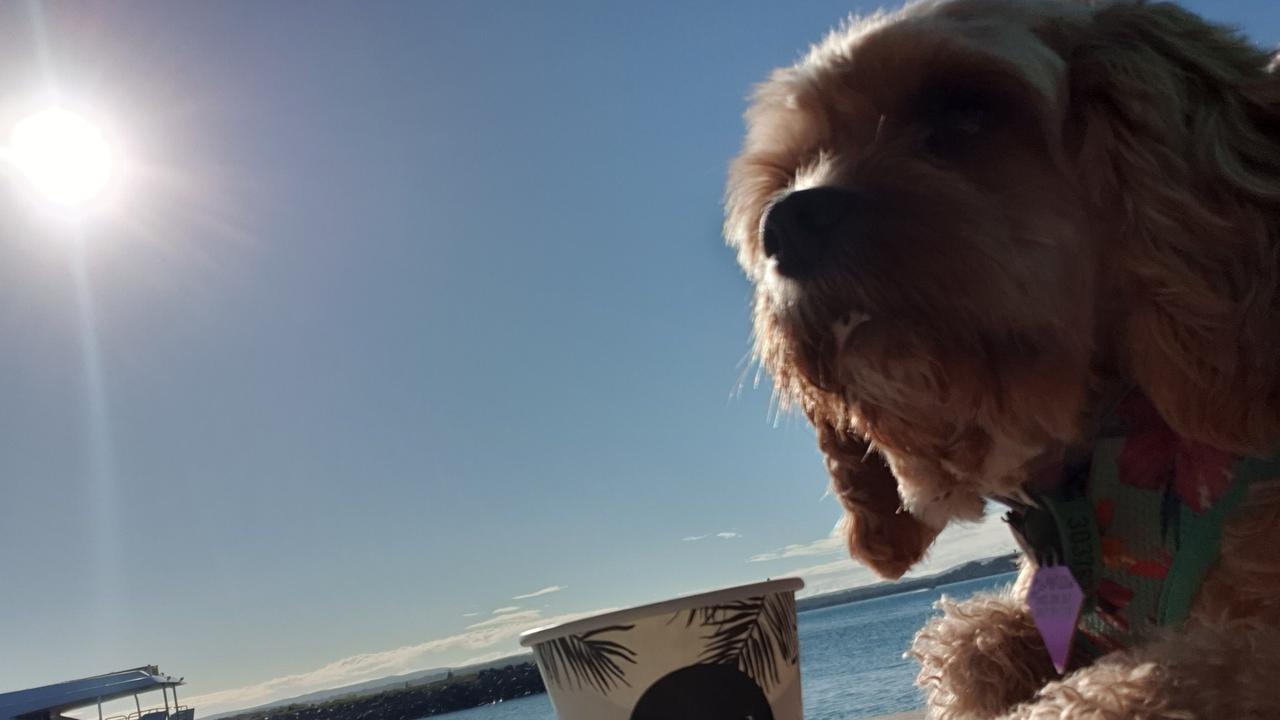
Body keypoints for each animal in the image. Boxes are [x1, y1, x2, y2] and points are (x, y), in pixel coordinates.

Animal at [727, 1, 1280, 717]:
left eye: (965, 107)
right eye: (786, 172)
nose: (786, 225)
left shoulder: (1244, 644)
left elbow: (1119, 687)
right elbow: (970, 644)